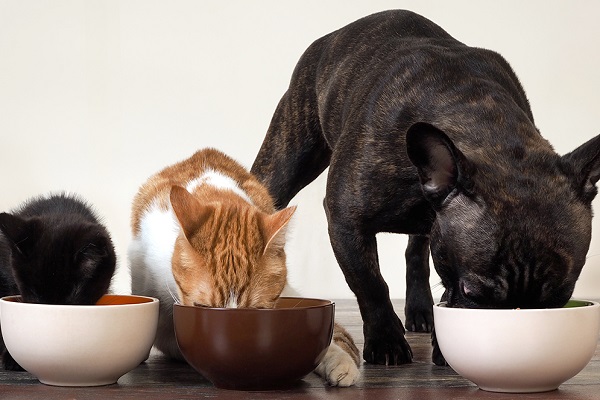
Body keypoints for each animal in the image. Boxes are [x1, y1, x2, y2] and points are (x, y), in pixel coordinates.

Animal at [251, 9, 600, 366]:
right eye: (473, 291)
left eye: (562, 297)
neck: (489, 130)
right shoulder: (346, 220)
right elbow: (369, 283)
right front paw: (386, 341)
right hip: (287, 156)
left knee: (416, 252)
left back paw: (419, 308)